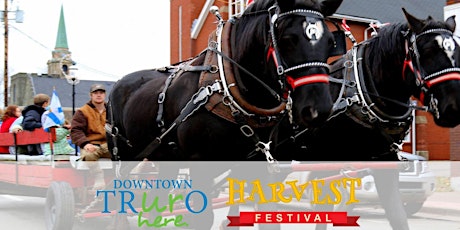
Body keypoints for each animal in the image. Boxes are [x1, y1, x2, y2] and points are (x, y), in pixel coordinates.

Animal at [108, 0, 344, 229]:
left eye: (330, 42)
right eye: (288, 39)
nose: (318, 108)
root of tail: (118, 84)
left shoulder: (262, 167)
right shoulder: (200, 164)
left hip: (164, 157)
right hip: (121, 155)